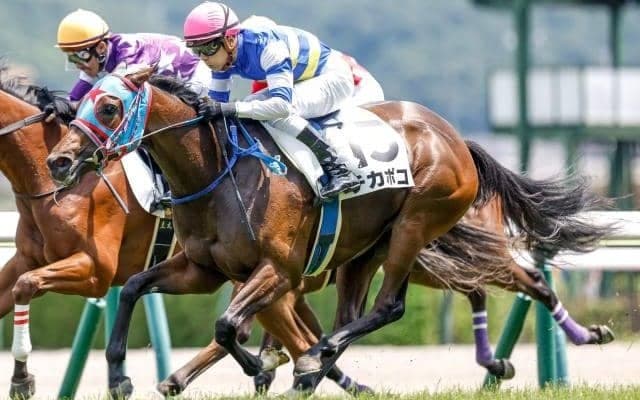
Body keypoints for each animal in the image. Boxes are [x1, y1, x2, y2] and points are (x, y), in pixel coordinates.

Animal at [46, 68, 612, 395]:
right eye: (82, 102)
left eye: (110, 106)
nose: (60, 161)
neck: (217, 171)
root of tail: (454, 137)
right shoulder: (203, 269)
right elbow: (135, 290)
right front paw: (119, 376)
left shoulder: (278, 270)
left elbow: (229, 327)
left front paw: (261, 368)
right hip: (365, 250)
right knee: (353, 315)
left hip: (415, 225)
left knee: (391, 306)